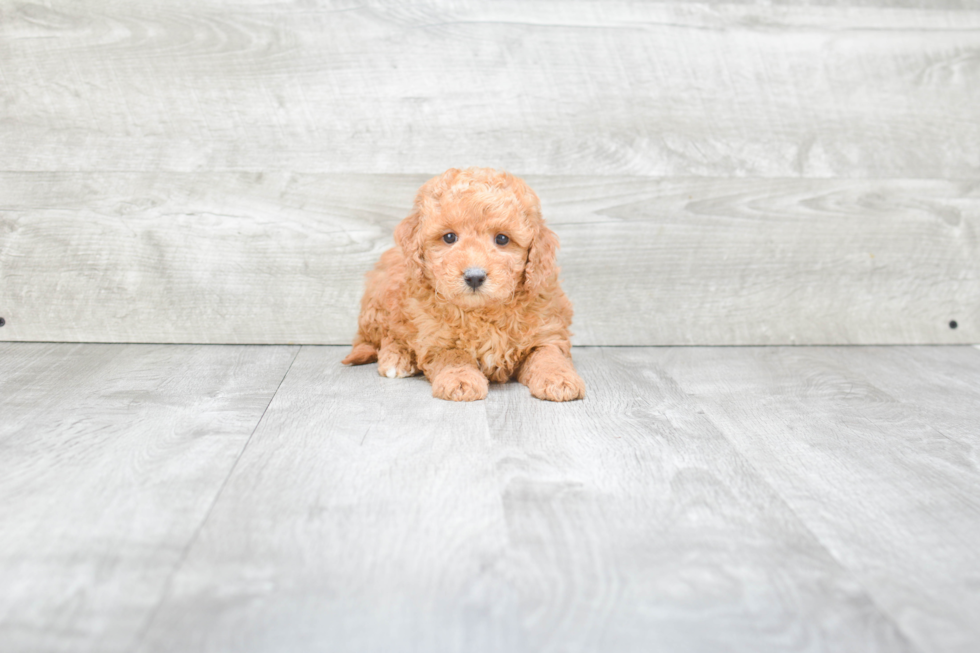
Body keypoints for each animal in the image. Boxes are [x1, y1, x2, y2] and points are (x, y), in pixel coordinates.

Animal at [340, 167, 584, 402]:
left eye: (502, 239)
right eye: (449, 237)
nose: (474, 276)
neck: (482, 312)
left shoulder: (547, 331)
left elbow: (549, 356)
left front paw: (559, 379)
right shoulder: (437, 338)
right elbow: (454, 356)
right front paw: (460, 381)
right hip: (382, 298)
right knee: (383, 336)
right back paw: (395, 359)